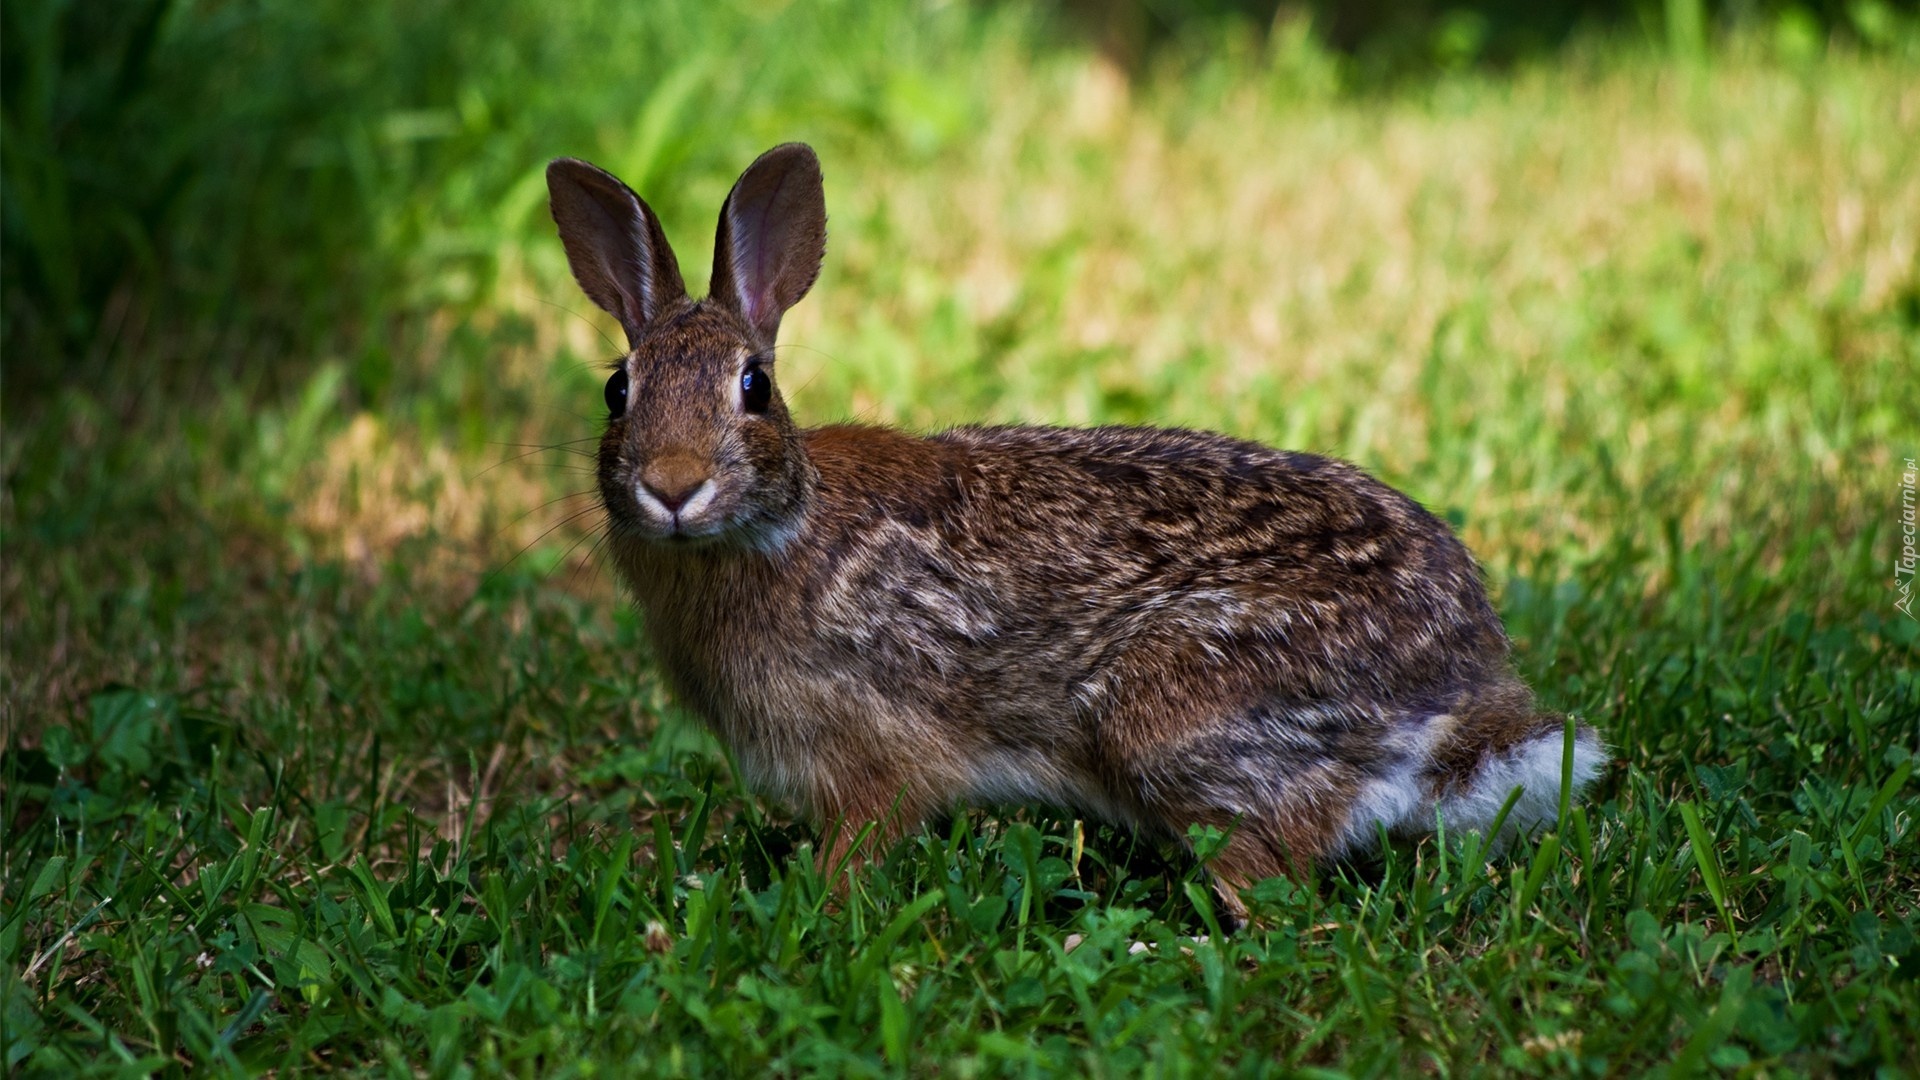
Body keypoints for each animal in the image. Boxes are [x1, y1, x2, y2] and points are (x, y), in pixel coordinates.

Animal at [545, 138, 1605, 922]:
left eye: (754, 388)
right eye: (618, 390)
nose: (671, 487)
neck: (781, 524)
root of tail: (1457, 690)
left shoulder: (875, 753)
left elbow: (865, 840)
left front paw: (817, 904)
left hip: (1172, 714)